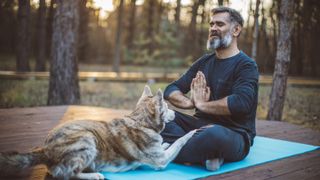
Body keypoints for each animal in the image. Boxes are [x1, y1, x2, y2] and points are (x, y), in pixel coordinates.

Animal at [0, 86, 196, 180]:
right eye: (167, 107)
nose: (174, 114)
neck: (141, 121)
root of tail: (45, 149)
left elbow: (167, 144)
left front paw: (164, 142)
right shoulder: (161, 161)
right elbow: (180, 140)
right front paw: (194, 131)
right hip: (87, 139)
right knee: (68, 174)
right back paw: (93, 175)